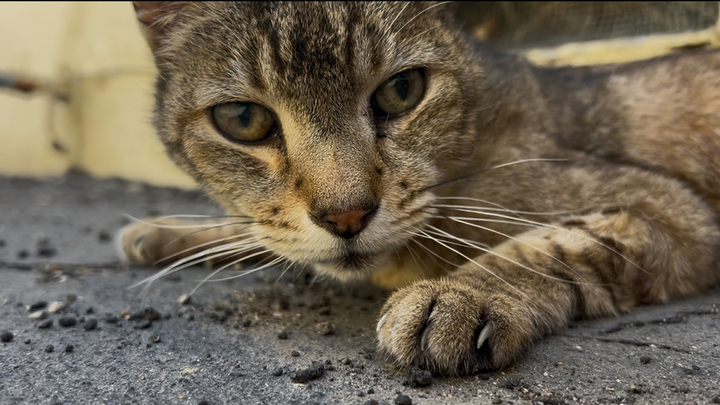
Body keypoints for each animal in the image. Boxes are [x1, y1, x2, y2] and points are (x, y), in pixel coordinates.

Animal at [121, 1, 720, 375]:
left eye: (402, 90)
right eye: (243, 119)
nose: (346, 215)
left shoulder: (670, 210)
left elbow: (549, 245)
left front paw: (462, 296)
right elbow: (260, 231)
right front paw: (169, 231)